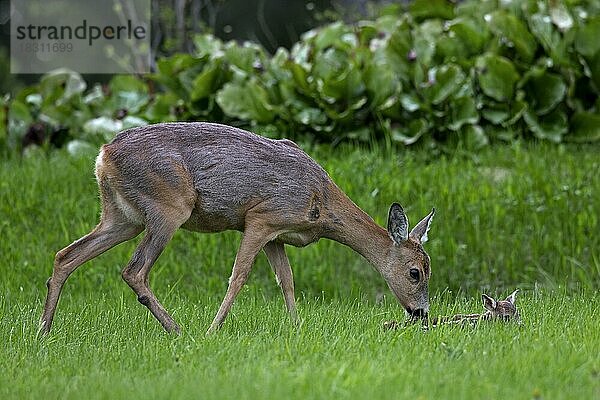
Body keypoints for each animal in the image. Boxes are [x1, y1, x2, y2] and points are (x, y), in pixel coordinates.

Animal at [38, 122, 436, 334]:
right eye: (415, 272)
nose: (422, 313)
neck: (320, 205)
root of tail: (102, 154)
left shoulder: (277, 234)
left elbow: (286, 280)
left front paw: (297, 328)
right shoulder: (261, 217)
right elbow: (239, 275)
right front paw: (214, 329)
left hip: (122, 216)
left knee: (66, 254)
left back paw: (44, 331)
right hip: (169, 205)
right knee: (133, 270)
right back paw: (179, 330)